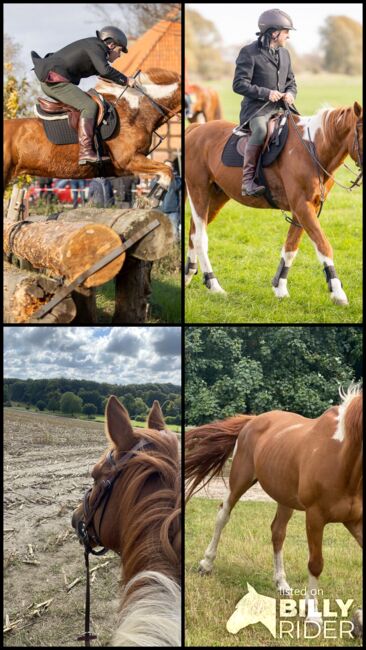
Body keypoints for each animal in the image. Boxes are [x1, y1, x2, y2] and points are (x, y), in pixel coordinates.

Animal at [186, 101, 364, 304]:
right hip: (198, 190)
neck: (313, 148)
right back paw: (213, 284)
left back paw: (188, 274)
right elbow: (323, 245)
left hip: (216, 197)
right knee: (200, 237)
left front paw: (280, 287)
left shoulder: (305, 209)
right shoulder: (303, 207)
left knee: (193, 231)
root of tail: (196, 129)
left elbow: (291, 247)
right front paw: (337, 292)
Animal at [186, 382, 364, 632]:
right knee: (223, 515)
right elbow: (316, 563)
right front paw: (313, 615)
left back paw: (282, 583)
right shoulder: (315, 518)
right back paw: (206, 564)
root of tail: (254, 420)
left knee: (278, 532)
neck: (342, 459)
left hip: (284, 499)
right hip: (240, 480)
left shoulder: (355, 520)